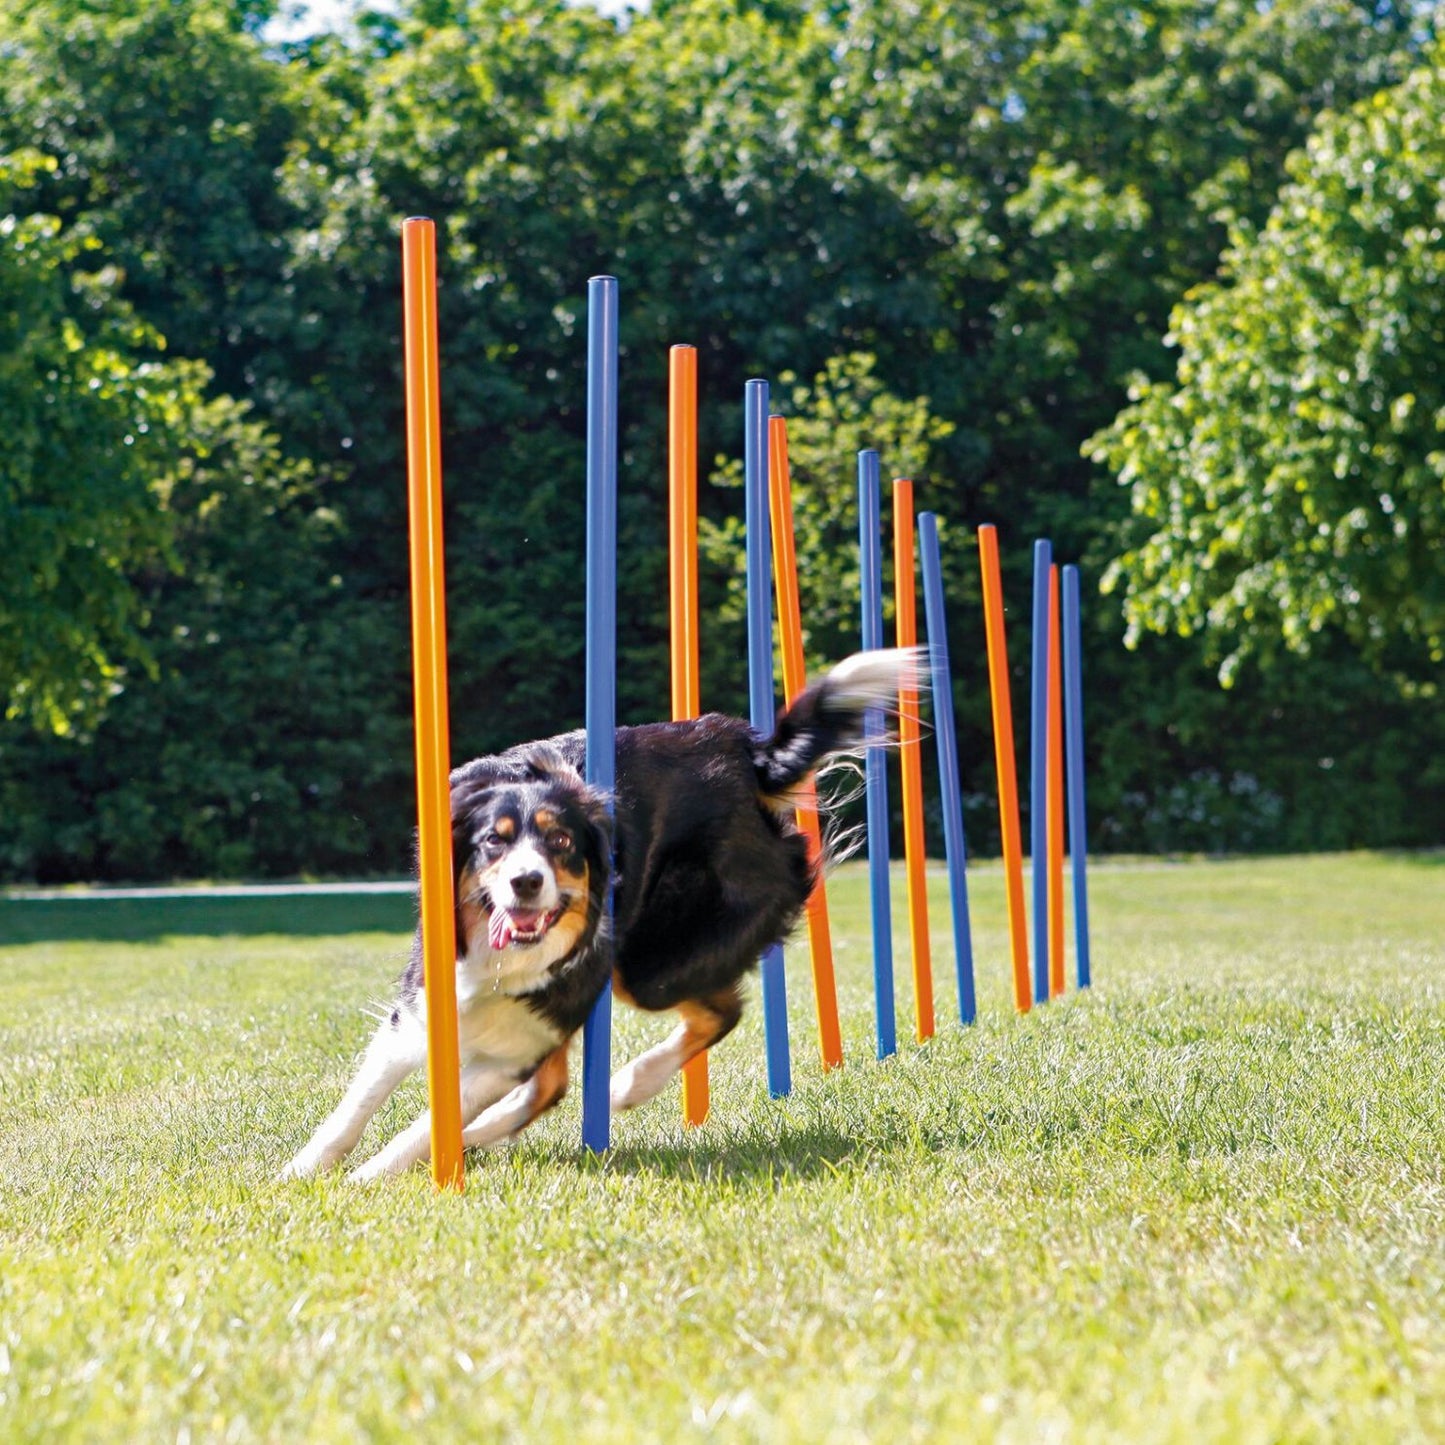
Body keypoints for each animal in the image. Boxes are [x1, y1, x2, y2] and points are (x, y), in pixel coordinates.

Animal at [281, 650, 913, 1179]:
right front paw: (303, 1171)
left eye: (561, 843)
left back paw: (626, 1086)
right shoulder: (422, 1010)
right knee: (556, 1084)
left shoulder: (520, 1042)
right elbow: (357, 1104)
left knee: (719, 1011)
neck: (502, 961)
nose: (527, 882)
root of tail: (747, 754)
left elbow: (431, 1120)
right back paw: (494, 1133)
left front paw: (372, 1176)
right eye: (493, 841)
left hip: (650, 964)